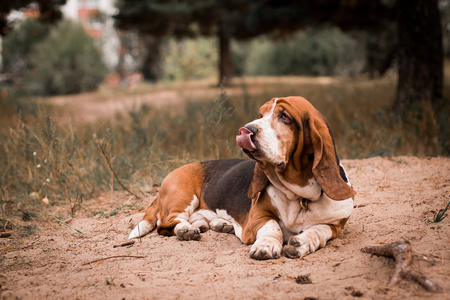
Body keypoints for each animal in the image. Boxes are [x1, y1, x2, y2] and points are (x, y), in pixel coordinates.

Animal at [129, 96, 356, 260]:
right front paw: (266, 245)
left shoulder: (335, 225)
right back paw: (187, 230)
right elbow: (273, 227)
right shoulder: (258, 217)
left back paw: (219, 225)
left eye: (285, 116)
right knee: (168, 224)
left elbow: (319, 230)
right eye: (261, 114)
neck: (300, 195)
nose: (246, 129)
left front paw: (303, 242)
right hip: (183, 195)